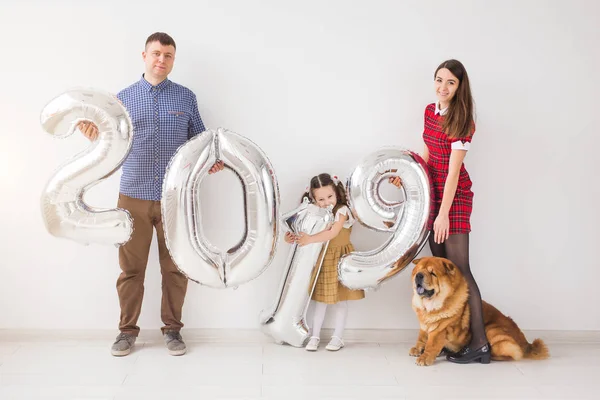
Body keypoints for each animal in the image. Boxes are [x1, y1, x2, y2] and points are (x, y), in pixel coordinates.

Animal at [410, 256, 548, 366]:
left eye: (433, 273)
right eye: (419, 270)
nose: (419, 275)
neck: (428, 306)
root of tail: (526, 344)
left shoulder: (440, 330)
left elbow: (431, 344)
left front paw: (424, 358)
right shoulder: (424, 326)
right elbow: (422, 337)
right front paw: (417, 349)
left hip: (491, 330)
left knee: (512, 353)